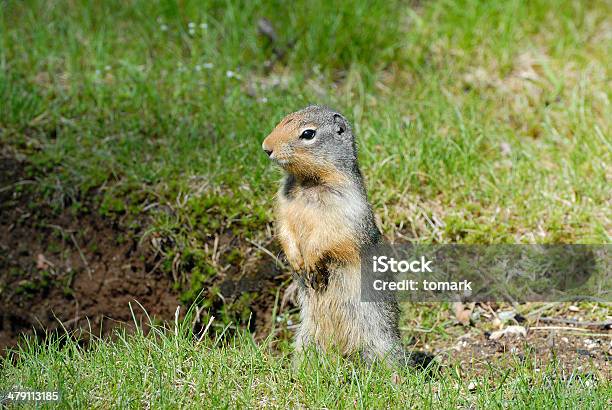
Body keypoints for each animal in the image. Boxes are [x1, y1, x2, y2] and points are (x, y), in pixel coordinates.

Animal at [262, 105, 430, 368]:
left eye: (308, 134)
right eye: (281, 121)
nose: (266, 147)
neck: (308, 183)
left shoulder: (344, 210)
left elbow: (330, 238)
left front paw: (311, 262)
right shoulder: (284, 208)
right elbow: (285, 231)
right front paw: (296, 261)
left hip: (375, 337)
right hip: (308, 337)